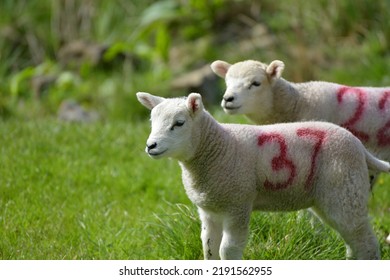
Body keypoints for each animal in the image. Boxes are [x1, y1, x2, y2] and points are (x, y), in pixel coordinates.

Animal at [136, 91, 386, 260]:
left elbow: (227, 250)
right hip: (332, 196)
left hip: (345, 190)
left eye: (179, 123)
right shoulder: (209, 210)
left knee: (365, 241)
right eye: (151, 122)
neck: (218, 147)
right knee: (353, 240)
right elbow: (209, 248)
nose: (150, 146)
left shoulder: (237, 205)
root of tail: (357, 144)